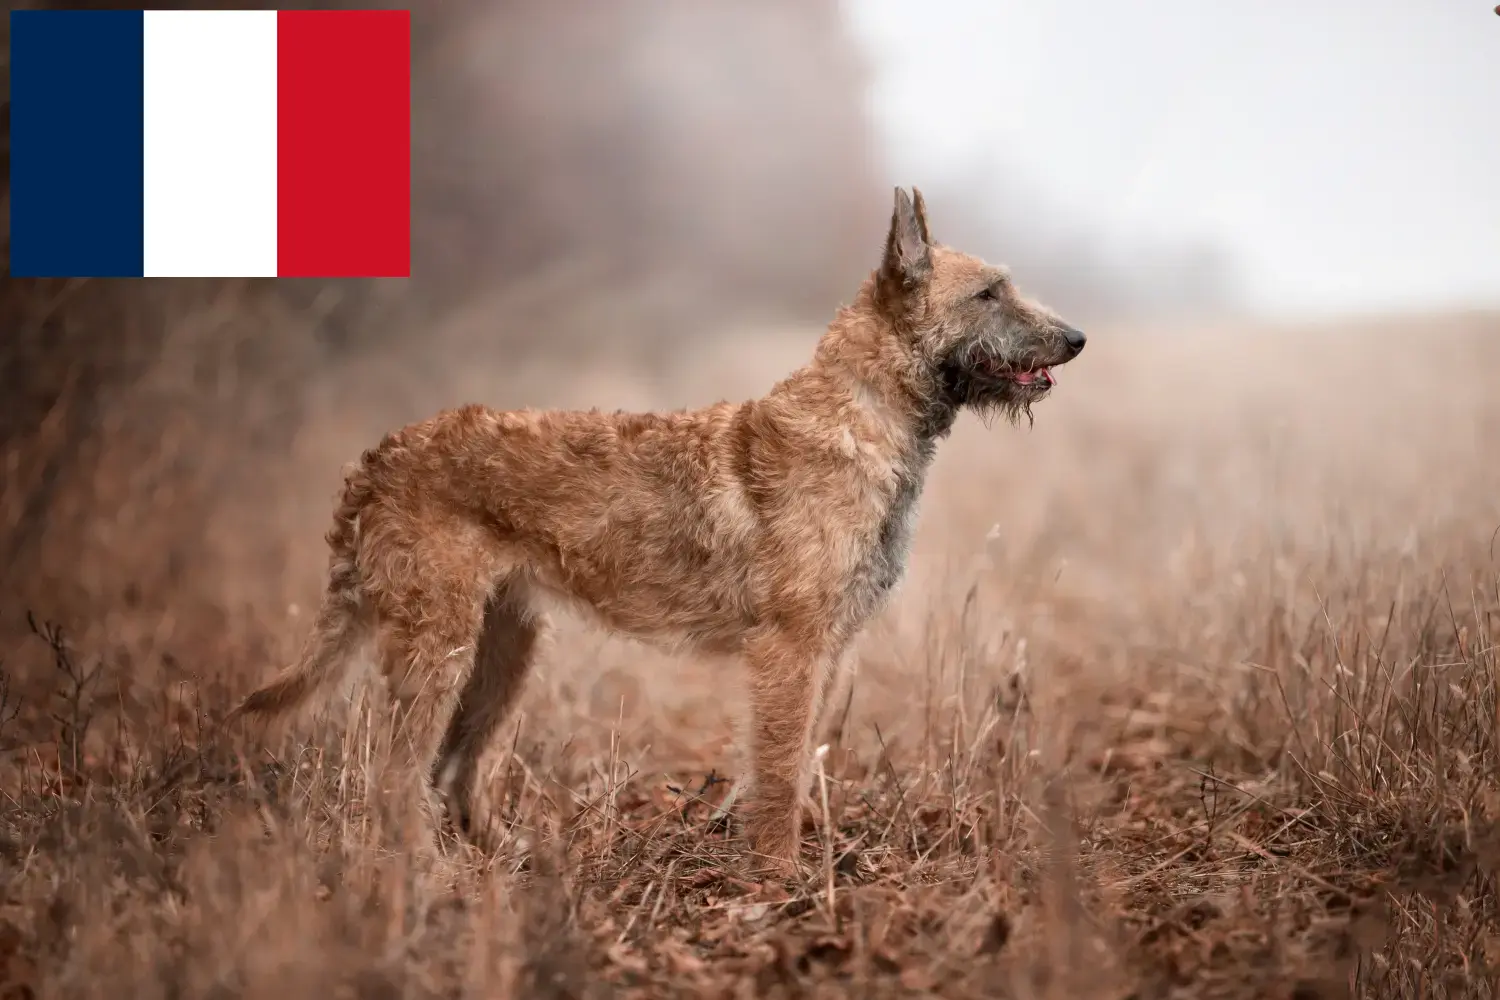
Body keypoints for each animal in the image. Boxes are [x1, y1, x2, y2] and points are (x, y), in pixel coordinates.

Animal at [234, 189, 1086, 875]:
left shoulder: (828, 649)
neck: (865, 414)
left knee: (451, 768)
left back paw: (506, 856)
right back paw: (426, 870)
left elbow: (797, 764)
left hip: (501, 649)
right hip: (436, 649)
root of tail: (376, 460)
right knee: (395, 773)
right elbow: (781, 771)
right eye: (989, 292)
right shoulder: (789, 650)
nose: (1076, 338)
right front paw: (780, 879)